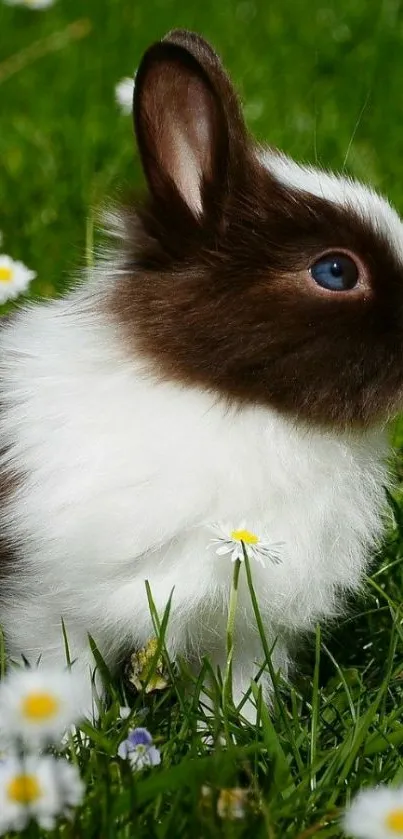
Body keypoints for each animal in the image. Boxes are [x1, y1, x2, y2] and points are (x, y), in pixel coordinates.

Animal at [0, 29, 403, 720]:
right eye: (335, 271)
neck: (230, 402)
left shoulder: (246, 629)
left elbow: (238, 692)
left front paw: (233, 735)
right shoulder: (49, 609)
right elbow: (62, 683)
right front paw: (74, 736)